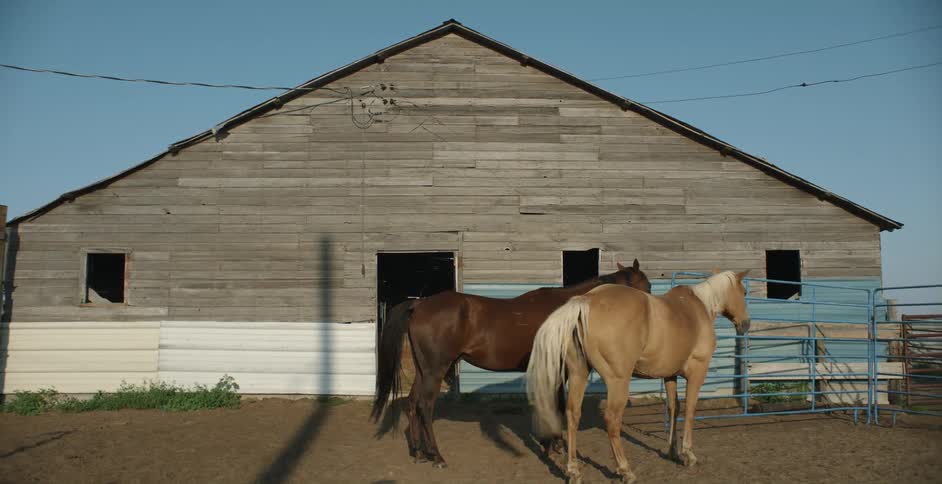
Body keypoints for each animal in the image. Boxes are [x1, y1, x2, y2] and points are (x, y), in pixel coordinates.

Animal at [371, 259, 651, 468]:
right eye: (646, 287)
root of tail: (420, 304)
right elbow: (557, 405)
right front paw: (555, 445)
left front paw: (552, 444)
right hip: (435, 370)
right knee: (425, 407)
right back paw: (437, 456)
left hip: (423, 370)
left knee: (412, 404)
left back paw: (419, 453)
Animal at [526, 270, 751, 483]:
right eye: (744, 292)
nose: (746, 324)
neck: (698, 308)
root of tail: (587, 300)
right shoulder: (697, 371)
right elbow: (689, 409)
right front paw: (688, 454)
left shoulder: (670, 376)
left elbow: (674, 408)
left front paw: (672, 451)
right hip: (617, 381)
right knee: (612, 419)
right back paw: (626, 470)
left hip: (578, 374)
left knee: (573, 414)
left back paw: (574, 471)